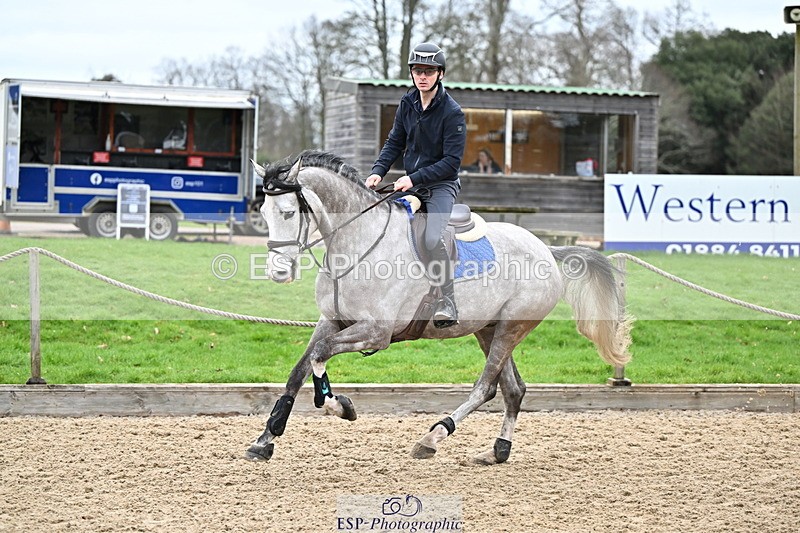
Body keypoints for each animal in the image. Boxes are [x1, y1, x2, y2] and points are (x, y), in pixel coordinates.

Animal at [246, 150, 632, 465]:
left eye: (288, 212)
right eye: (263, 211)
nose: (278, 271)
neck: (356, 244)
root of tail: (546, 250)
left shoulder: (376, 332)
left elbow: (320, 355)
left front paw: (336, 405)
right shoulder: (332, 321)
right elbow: (300, 369)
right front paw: (266, 438)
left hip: (511, 327)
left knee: (485, 387)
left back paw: (433, 436)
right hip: (488, 329)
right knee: (512, 389)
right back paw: (498, 450)